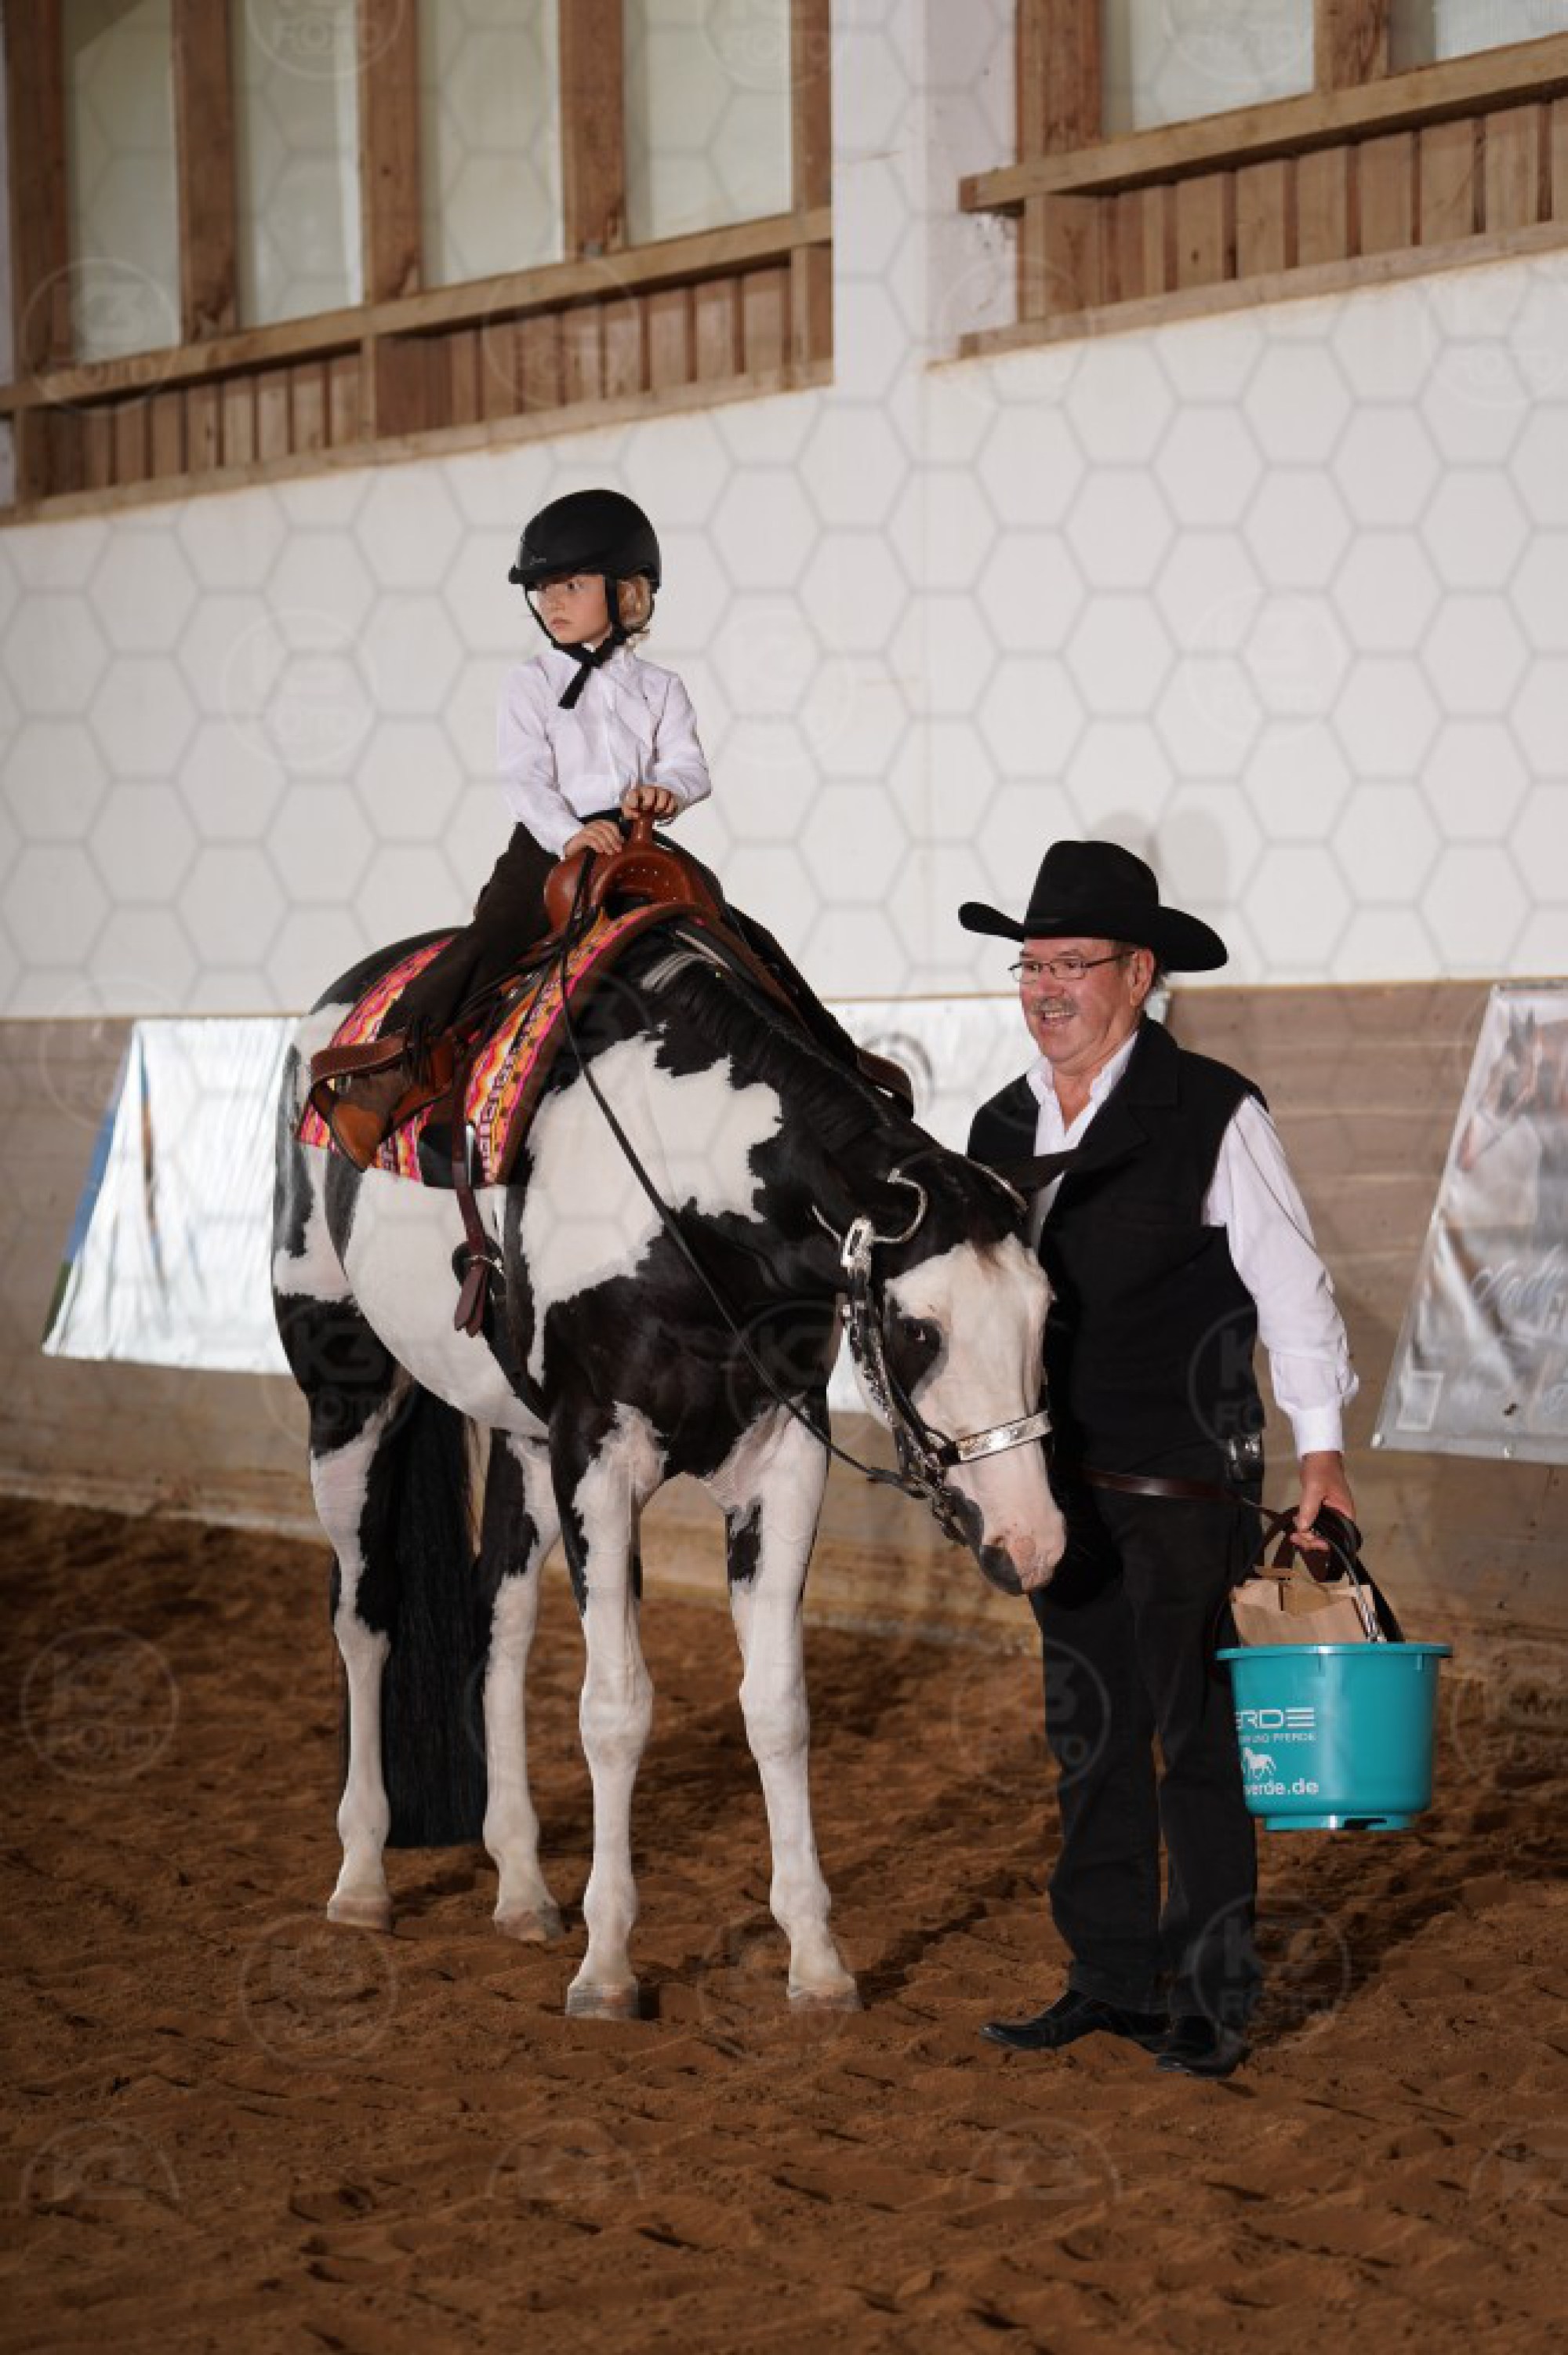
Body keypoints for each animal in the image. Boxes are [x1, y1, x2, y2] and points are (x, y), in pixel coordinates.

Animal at [272, 921, 1065, 2018]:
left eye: (1044, 1310)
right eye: (918, 1327)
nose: (1035, 1543)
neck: (682, 1206)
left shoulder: (779, 1463)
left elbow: (775, 1708)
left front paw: (815, 1959)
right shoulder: (600, 1466)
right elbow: (616, 1710)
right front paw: (607, 1966)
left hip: (522, 1447)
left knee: (498, 1626)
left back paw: (520, 1887)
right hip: (346, 1399)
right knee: (363, 1618)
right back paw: (361, 1878)